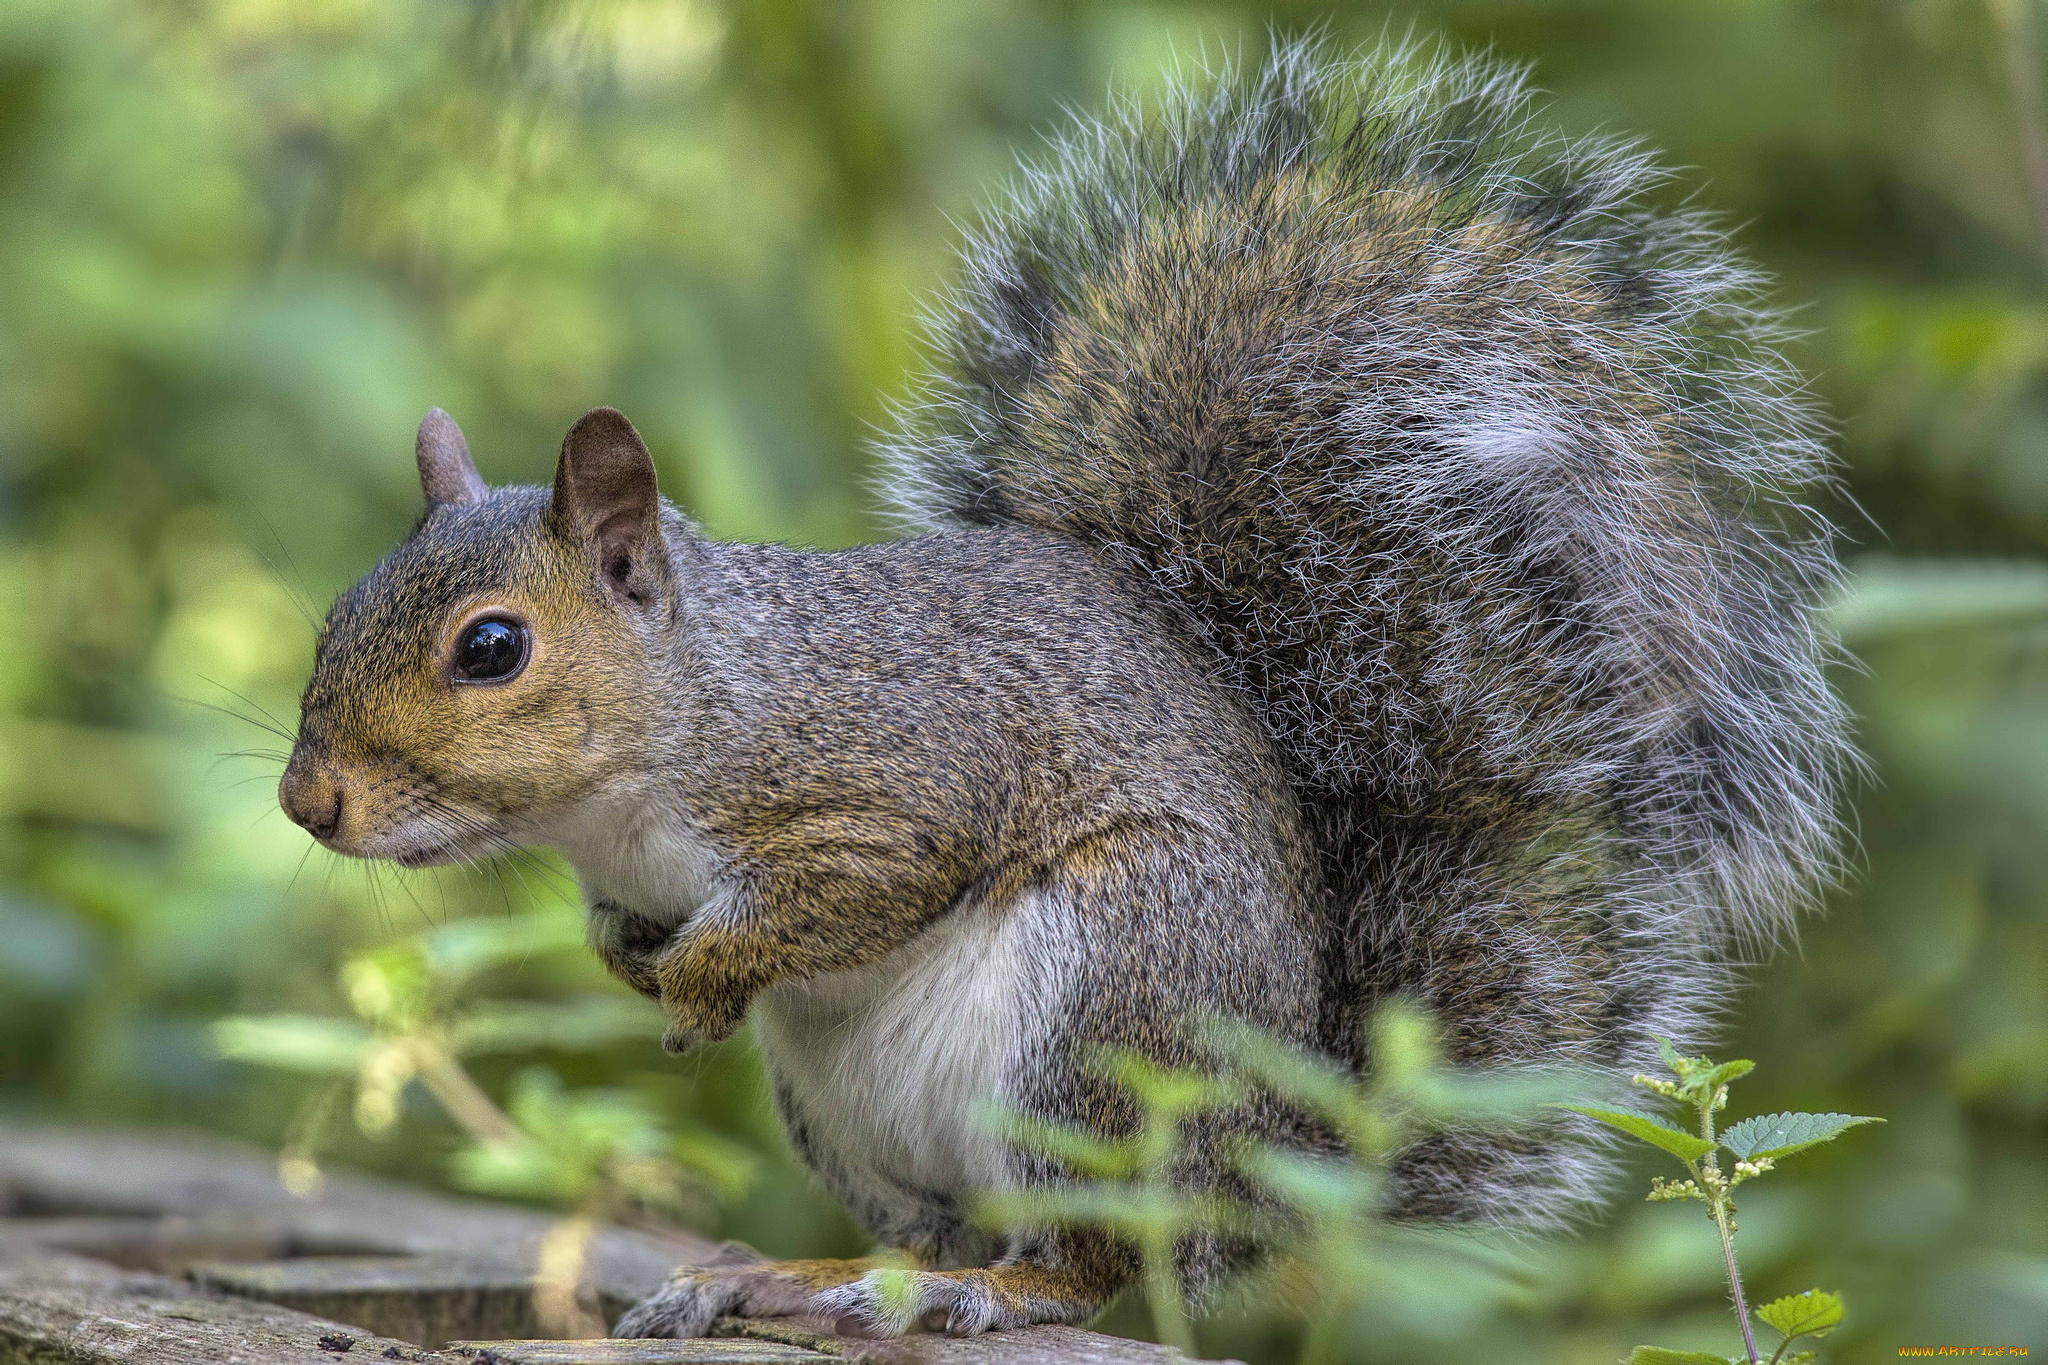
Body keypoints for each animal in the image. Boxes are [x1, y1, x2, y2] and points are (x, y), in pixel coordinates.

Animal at [276, 42, 1859, 1342]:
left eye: (492, 648)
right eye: (339, 608)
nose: (307, 801)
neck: (677, 728)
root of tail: (1260, 1167)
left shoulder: (890, 774)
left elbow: (849, 888)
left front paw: (699, 979)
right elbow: (632, 924)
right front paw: (629, 959)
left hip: (1108, 1003)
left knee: (1087, 1256)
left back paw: (986, 1289)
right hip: (854, 1110)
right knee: (936, 1228)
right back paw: (788, 1278)